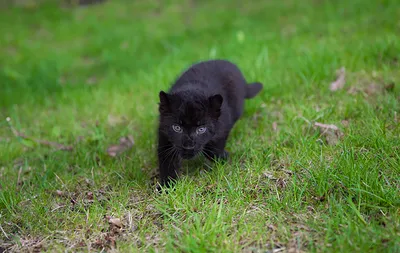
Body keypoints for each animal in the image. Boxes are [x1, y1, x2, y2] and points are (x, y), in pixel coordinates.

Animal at [156, 59, 262, 188]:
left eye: (201, 129)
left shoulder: (223, 127)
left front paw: (223, 158)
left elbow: (213, 149)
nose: (188, 146)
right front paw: (167, 187)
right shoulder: (164, 137)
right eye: (177, 128)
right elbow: (167, 164)